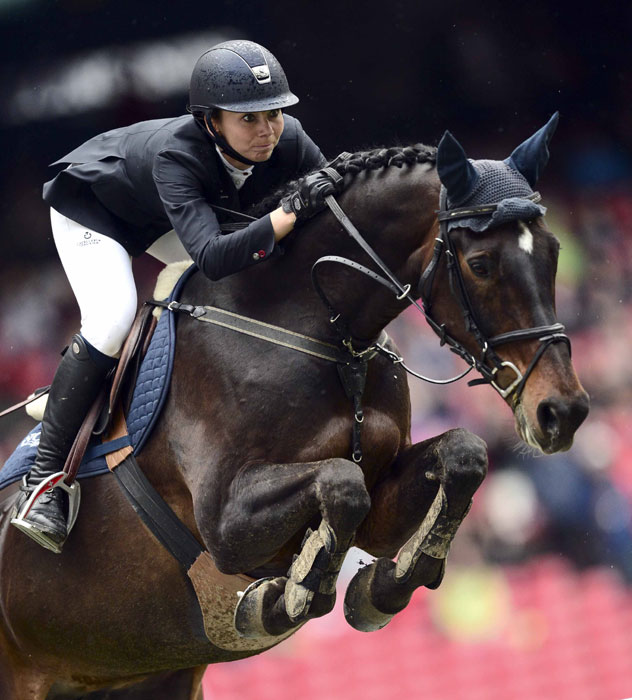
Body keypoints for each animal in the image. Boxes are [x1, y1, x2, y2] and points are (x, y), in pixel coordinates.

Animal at [0, 117, 588, 696]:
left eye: (555, 252)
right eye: (481, 264)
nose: (563, 412)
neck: (323, 335)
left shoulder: (383, 499)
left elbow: (463, 455)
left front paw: (384, 587)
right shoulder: (225, 523)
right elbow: (340, 483)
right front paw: (283, 600)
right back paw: (44, 506)